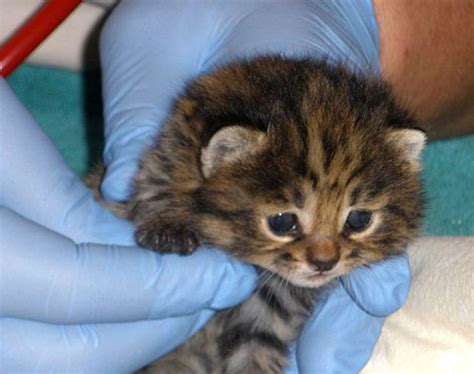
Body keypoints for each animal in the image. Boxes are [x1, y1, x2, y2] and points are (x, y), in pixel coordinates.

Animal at [94, 56, 424, 374]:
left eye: (358, 220)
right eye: (282, 222)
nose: (324, 263)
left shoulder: (264, 322)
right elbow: (156, 187)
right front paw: (168, 224)